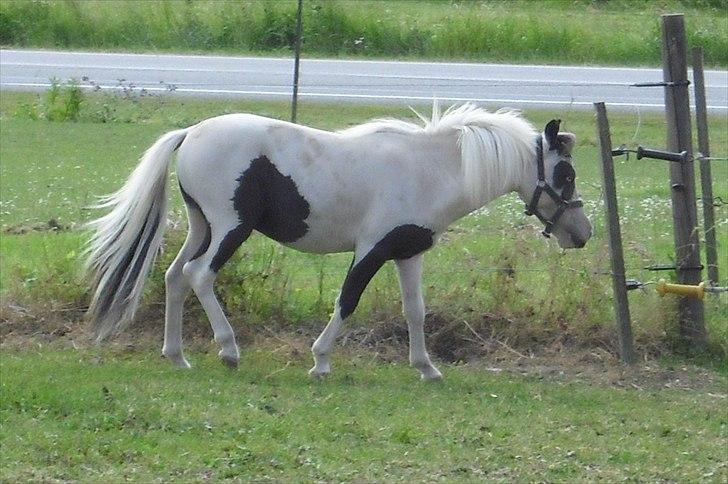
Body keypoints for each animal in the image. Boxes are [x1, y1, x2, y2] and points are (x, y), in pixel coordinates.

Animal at [85, 104, 592, 380]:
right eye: (565, 174)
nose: (582, 233)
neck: (430, 170)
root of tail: (191, 132)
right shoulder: (371, 250)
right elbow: (347, 300)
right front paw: (320, 361)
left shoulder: (408, 253)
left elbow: (415, 311)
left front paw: (426, 367)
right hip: (231, 229)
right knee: (199, 276)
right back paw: (228, 350)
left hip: (202, 227)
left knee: (174, 278)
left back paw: (177, 357)